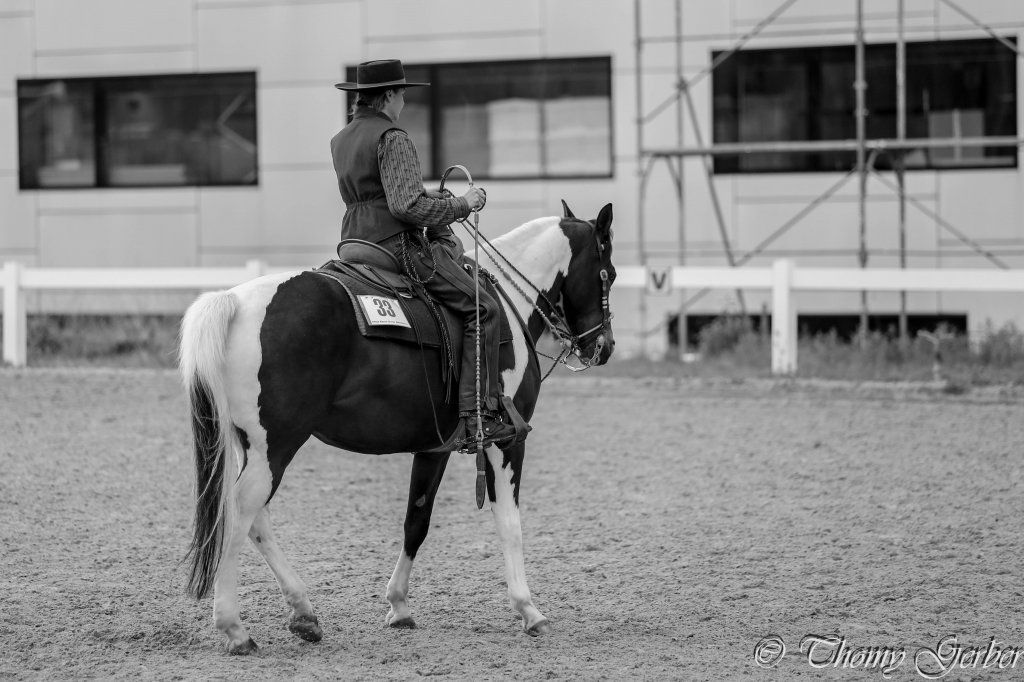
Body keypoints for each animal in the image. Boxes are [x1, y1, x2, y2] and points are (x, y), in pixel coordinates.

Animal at [178, 201, 617, 654]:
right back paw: (234, 627)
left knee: (257, 520)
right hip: (277, 445)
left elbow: (416, 521)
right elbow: (509, 524)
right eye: (609, 272)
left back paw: (303, 613)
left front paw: (399, 606)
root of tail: (232, 300)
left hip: (254, 447)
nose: (604, 346)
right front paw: (529, 610)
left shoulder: (434, 447)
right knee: (240, 512)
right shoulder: (505, 443)